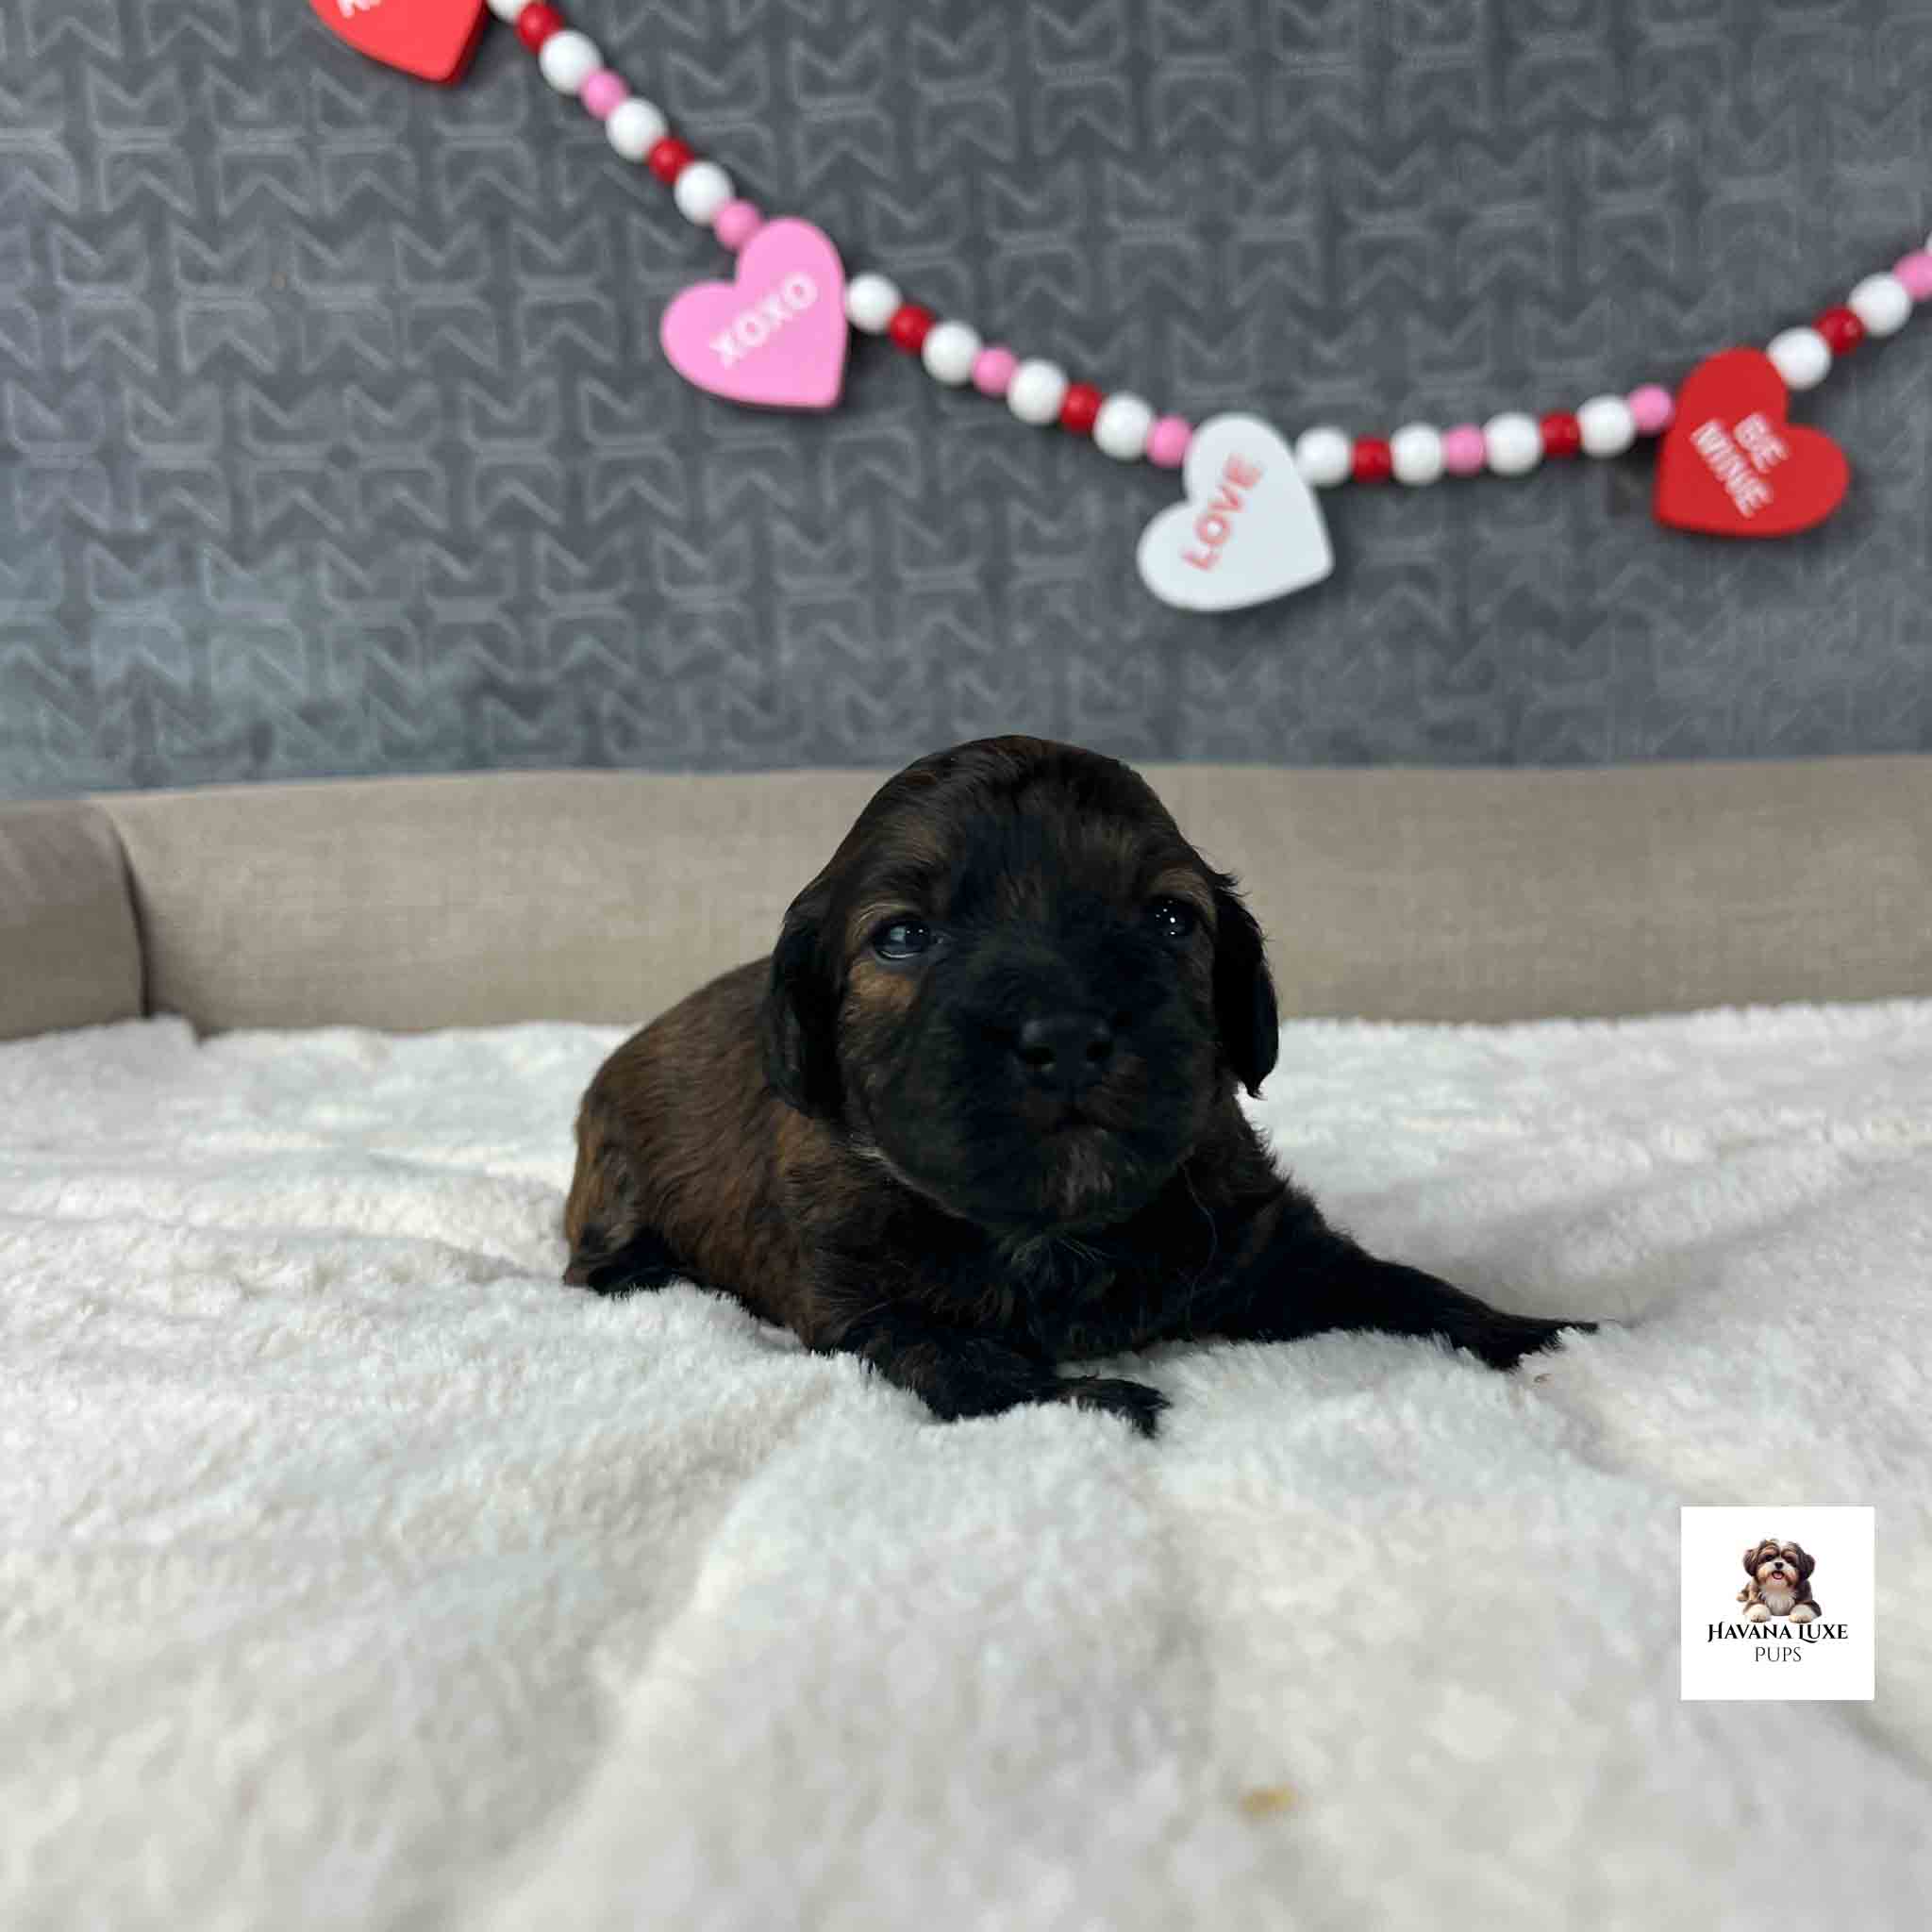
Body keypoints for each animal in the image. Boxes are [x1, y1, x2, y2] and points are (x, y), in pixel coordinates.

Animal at [563, 735, 1595, 1435]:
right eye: (900, 936)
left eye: (1171, 917)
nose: (1063, 1035)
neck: (1053, 1231)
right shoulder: (852, 1297)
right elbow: (960, 1354)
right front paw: (1091, 1398)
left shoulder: (1271, 1246)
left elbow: (1406, 1286)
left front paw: (1547, 1336)